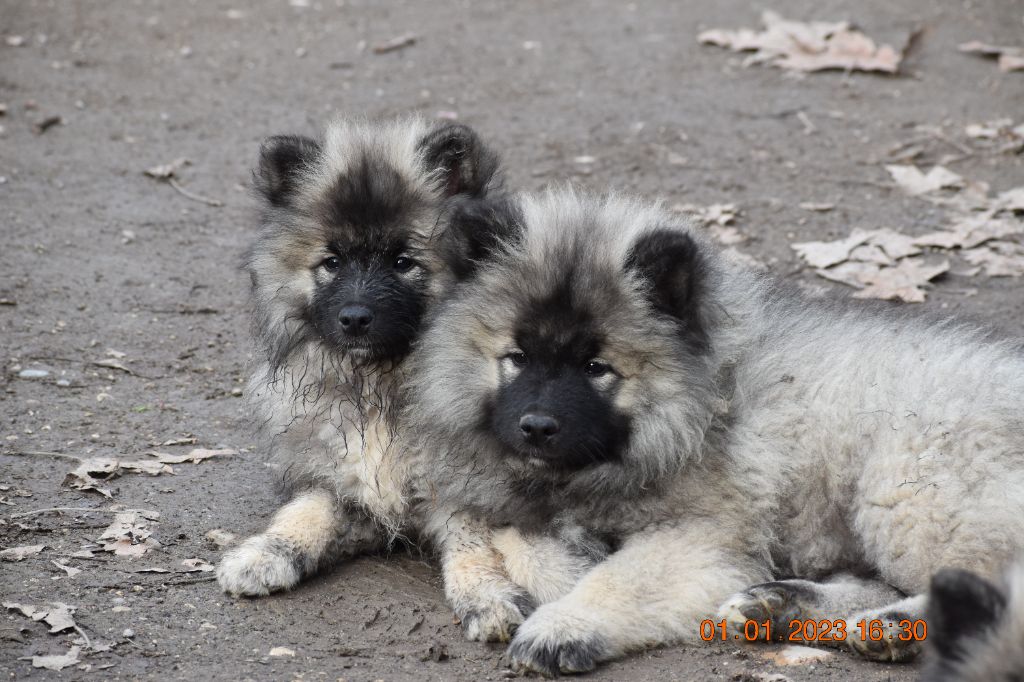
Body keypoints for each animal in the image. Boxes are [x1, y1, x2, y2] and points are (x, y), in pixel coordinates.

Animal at [216, 118, 593, 643]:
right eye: (332, 262)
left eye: (402, 261)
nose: (355, 318)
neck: (382, 386)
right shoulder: (346, 480)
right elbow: (306, 510)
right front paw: (266, 552)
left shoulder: (469, 489)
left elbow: (474, 541)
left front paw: (486, 596)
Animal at [403, 187, 1024, 675]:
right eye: (517, 356)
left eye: (596, 367)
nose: (536, 427)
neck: (700, 404)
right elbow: (516, 534)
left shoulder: (701, 536)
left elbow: (619, 577)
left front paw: (564, 623)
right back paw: (784, 604)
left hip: (905, 494)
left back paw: (891, 625)